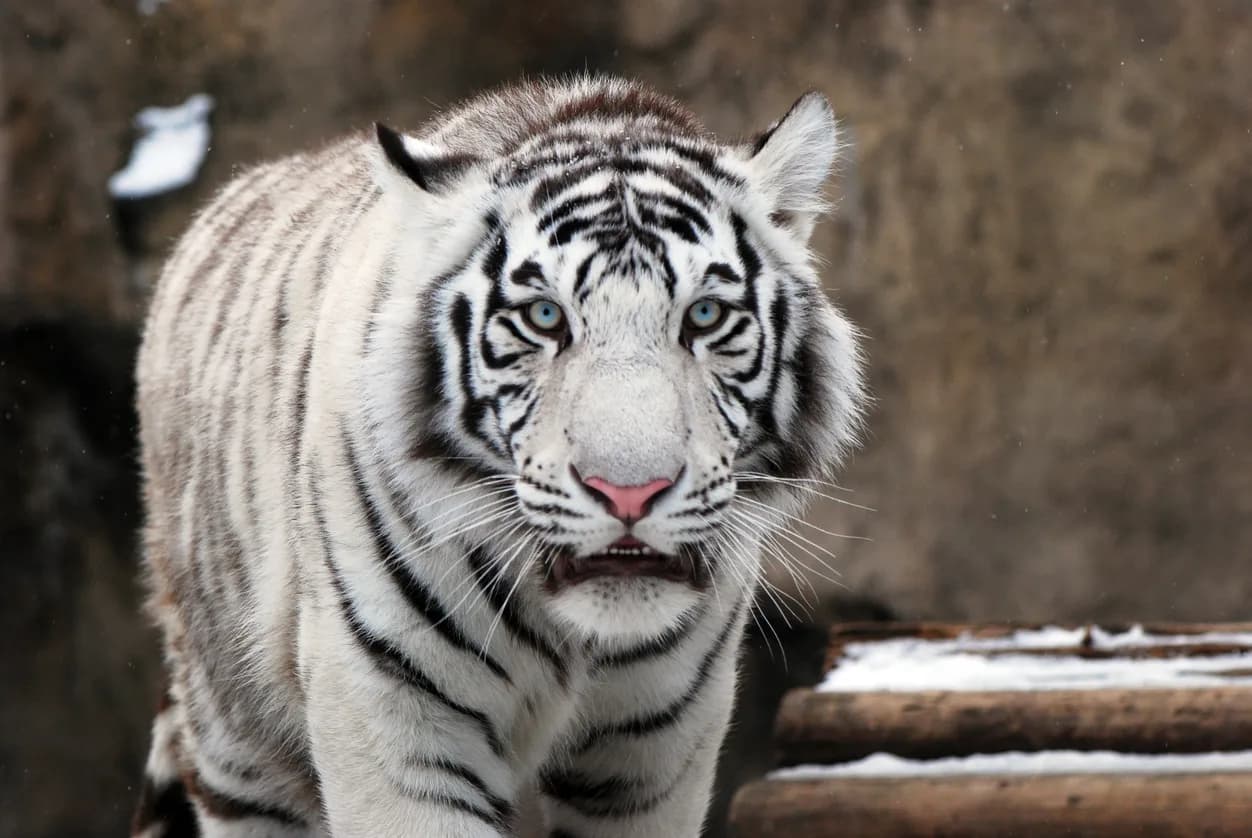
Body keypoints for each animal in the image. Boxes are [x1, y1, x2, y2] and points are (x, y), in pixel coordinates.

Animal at [131, 76, 866, 838]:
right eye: (544, 318)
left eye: (705, 316)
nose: (629, 493)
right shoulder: (388, 710)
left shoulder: (659, 746)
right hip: (238, 744)